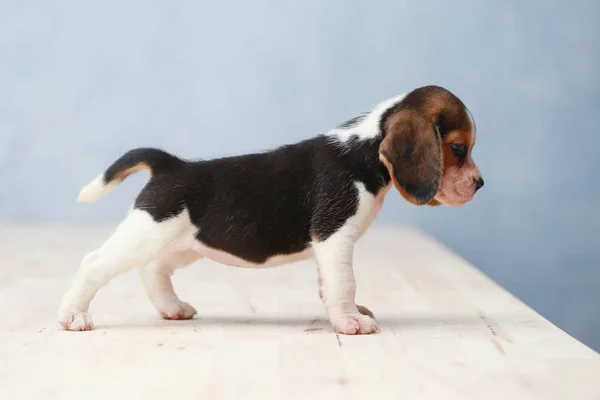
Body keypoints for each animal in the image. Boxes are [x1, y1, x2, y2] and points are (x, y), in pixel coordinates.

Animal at [58, 85, 486, 334]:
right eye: (458, 148)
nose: (480, 184)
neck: (365, 150)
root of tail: (171, 165)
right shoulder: (335, 237)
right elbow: (344, 281)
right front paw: (349, 321)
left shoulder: (328, 248)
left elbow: (330, 283)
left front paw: (342, 311)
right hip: (148, 232)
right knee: (95, 263)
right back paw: (73, 316)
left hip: (182, 242)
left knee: (154, 270)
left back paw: (172, 308)